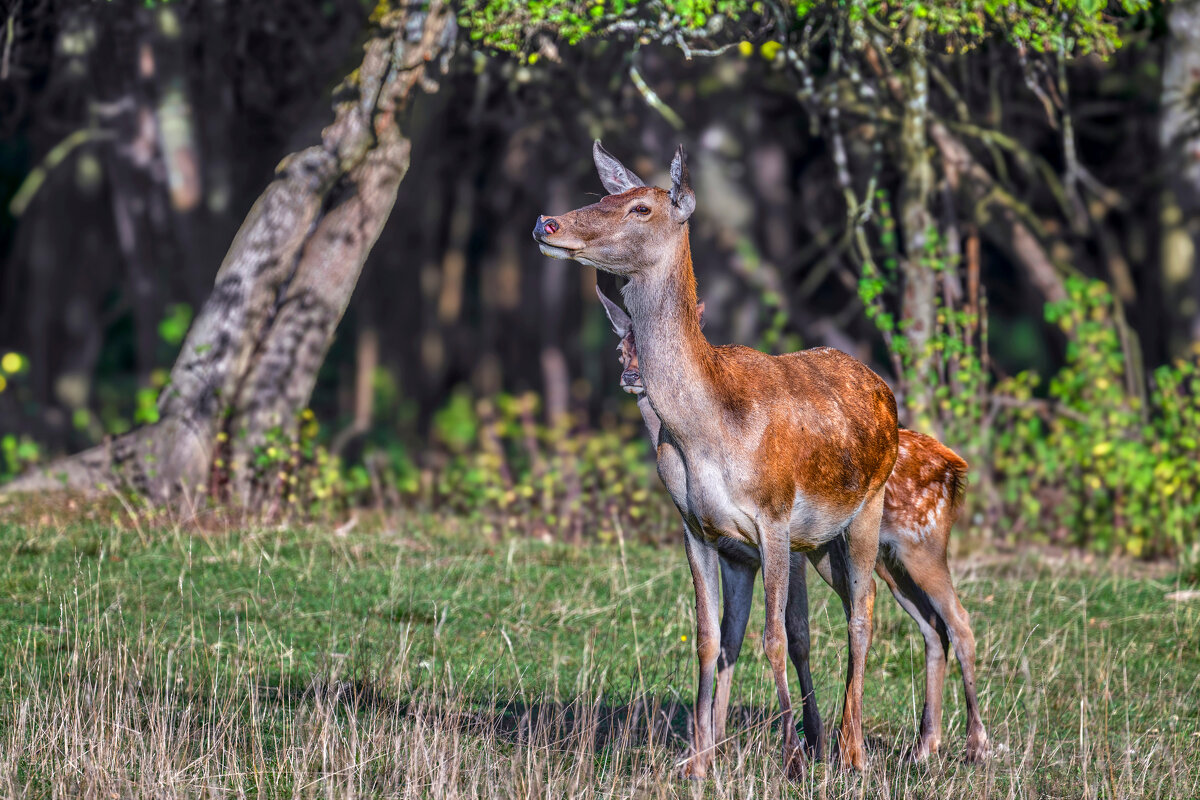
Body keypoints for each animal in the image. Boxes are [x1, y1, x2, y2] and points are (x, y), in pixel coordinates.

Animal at [530, 142, 897, 777]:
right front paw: (699, 761)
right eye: (601, 195)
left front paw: (791, 759)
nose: (546, 222)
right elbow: (709, 638)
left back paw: (849, 750)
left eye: (642, 208)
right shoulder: (697, 527)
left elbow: (772, 637)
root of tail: (884, 389)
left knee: (861, 615)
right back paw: (824, 740)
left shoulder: (773, 516)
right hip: (818, 544)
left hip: (866, 507)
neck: (708, 431)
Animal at [597, 287, 984, 762]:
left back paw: (974, 744)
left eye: (646, 350)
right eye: (621, 349)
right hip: (882, 561)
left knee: (958, 621)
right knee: (931, 626)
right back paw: (924, 744)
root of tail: (956, 466)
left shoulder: (782, 543)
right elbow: (730, 639)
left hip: (920, 543)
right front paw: (717, 739)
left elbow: (794, 634)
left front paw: (807, 738)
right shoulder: (738, 556)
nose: (632, 375)